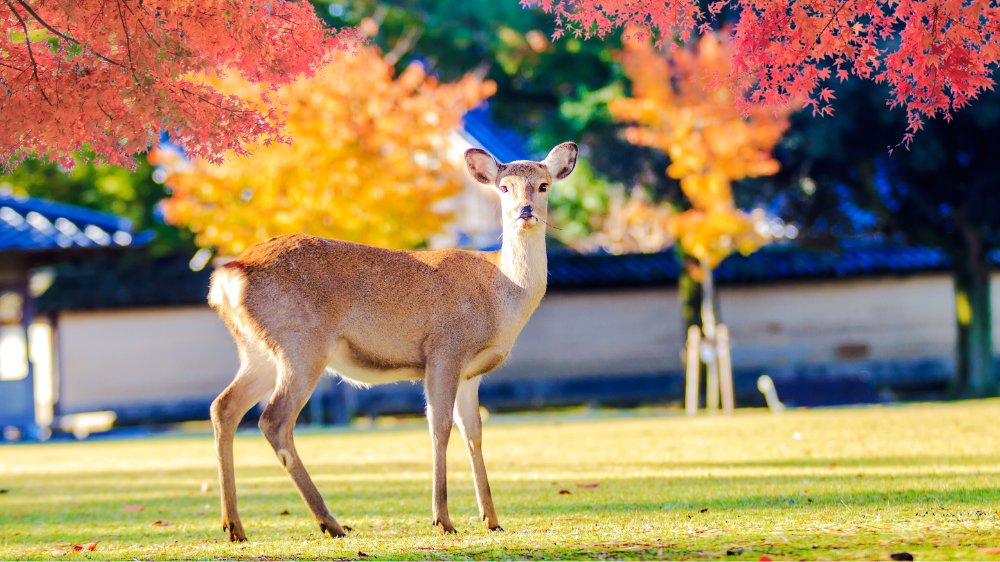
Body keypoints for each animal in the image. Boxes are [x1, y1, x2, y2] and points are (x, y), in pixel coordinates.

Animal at [205, 142, 580, 540]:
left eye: (543, 185)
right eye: (504, 187)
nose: (525, 211)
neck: (501, 296)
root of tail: (228, 276)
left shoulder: (471, 373)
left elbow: (474, 432)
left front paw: (491, 520)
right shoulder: (445, 349)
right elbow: (439, 427)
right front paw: (443, 519)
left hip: (258, 351)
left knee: (223, 407)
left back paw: (234, 526)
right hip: (301, 344)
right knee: (273, 420)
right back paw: (330, 523)